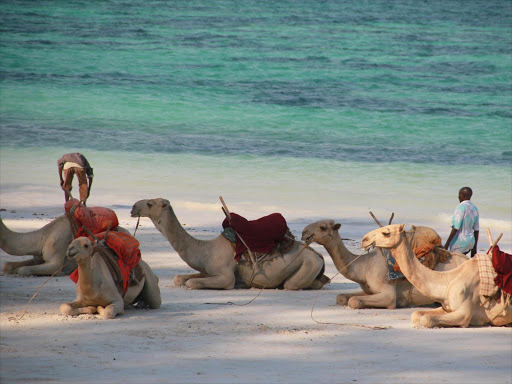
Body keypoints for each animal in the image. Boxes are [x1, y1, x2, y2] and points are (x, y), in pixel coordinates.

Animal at [129, 200, 328, 290]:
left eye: (150, 203)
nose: (133, 207)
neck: (205, 250)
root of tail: (319, 256)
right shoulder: (207, 270)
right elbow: (180, 278)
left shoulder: (225, 276)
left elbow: (193, 282)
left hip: (308, 264)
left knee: (292, 284)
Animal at [302, 219, 470, 308]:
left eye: (322, 227)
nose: (304, 232)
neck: (365, 266)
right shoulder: (369, 290)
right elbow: (342, 297)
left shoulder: (388, 292)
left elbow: (354, 301)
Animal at [362, 224, 510, 328]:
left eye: (386, 233)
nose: (364, 239)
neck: (448, 281)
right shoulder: (446, 307)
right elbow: (416, 314)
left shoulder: (464, 314)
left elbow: (426, 319)